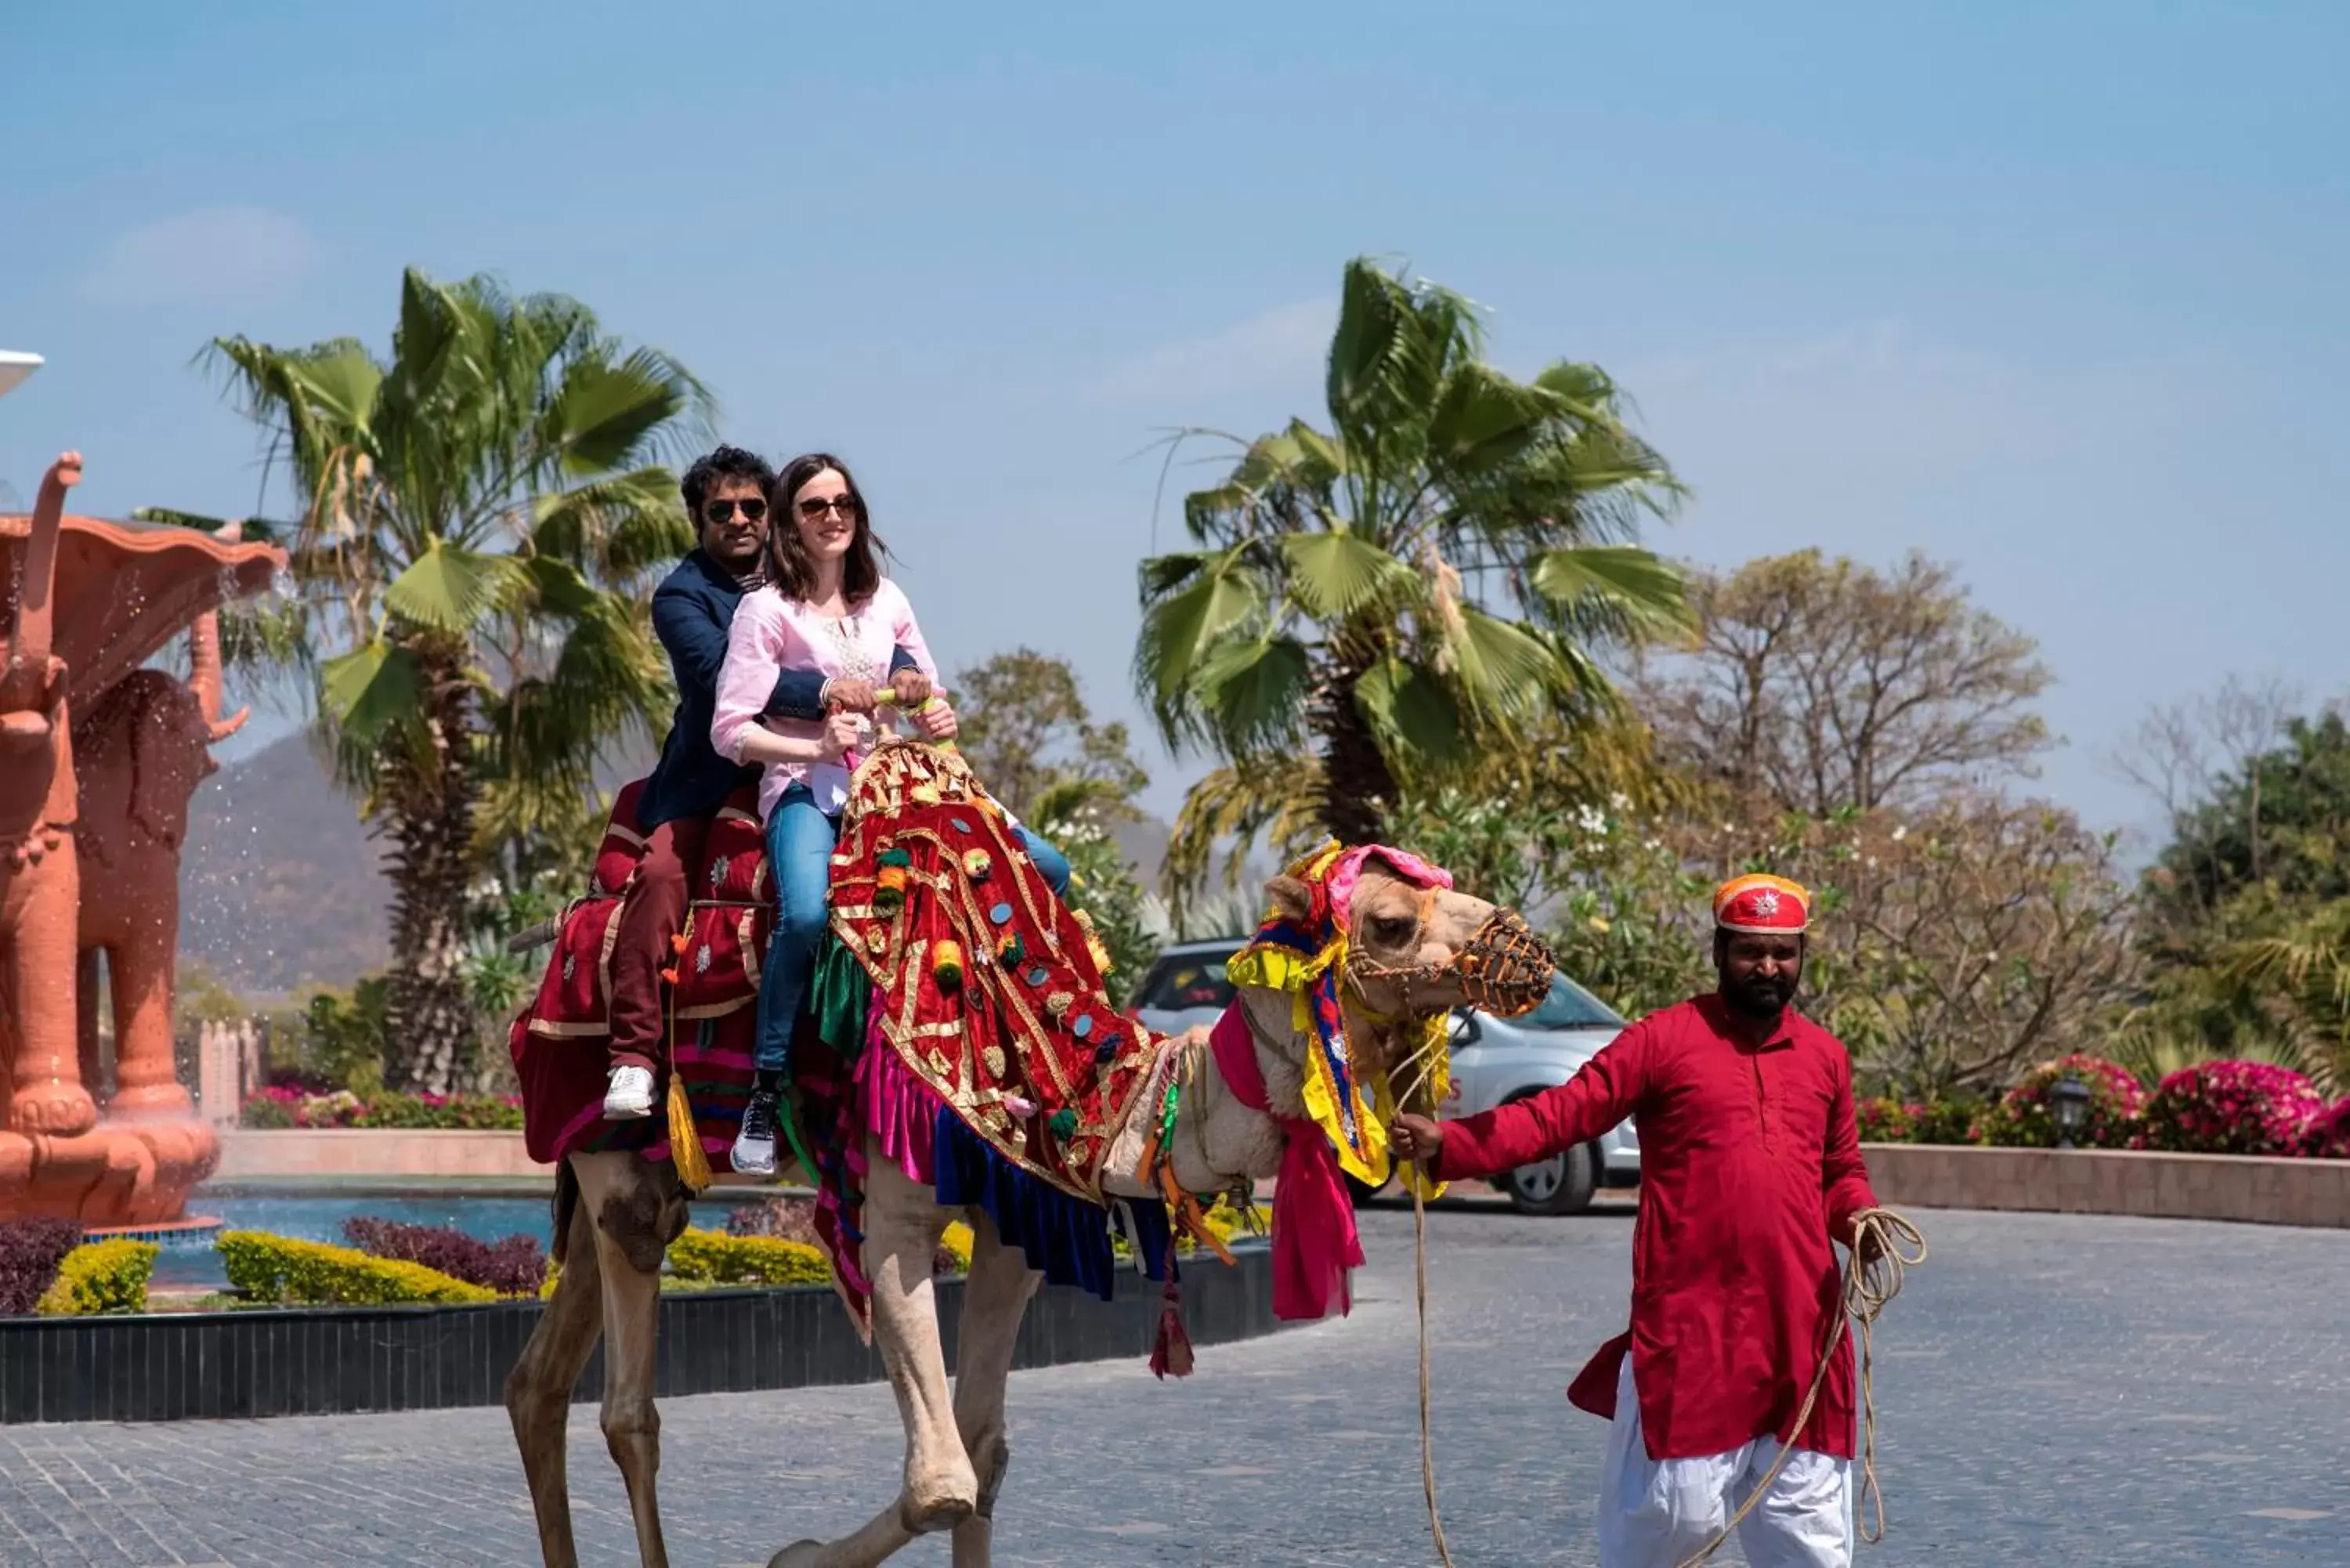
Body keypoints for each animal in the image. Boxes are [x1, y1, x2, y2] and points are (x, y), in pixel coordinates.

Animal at [505, 738, 1551, 1568]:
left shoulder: (1016, 1221)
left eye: (1443, 877)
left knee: (539, 1384)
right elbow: (941, 1482)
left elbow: (983, 1451)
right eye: (1389, 920)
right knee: (628, 1408)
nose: (1526, 946)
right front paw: (792, 1556)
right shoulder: (895, 1209)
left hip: (627, 1168)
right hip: (614, 1144)